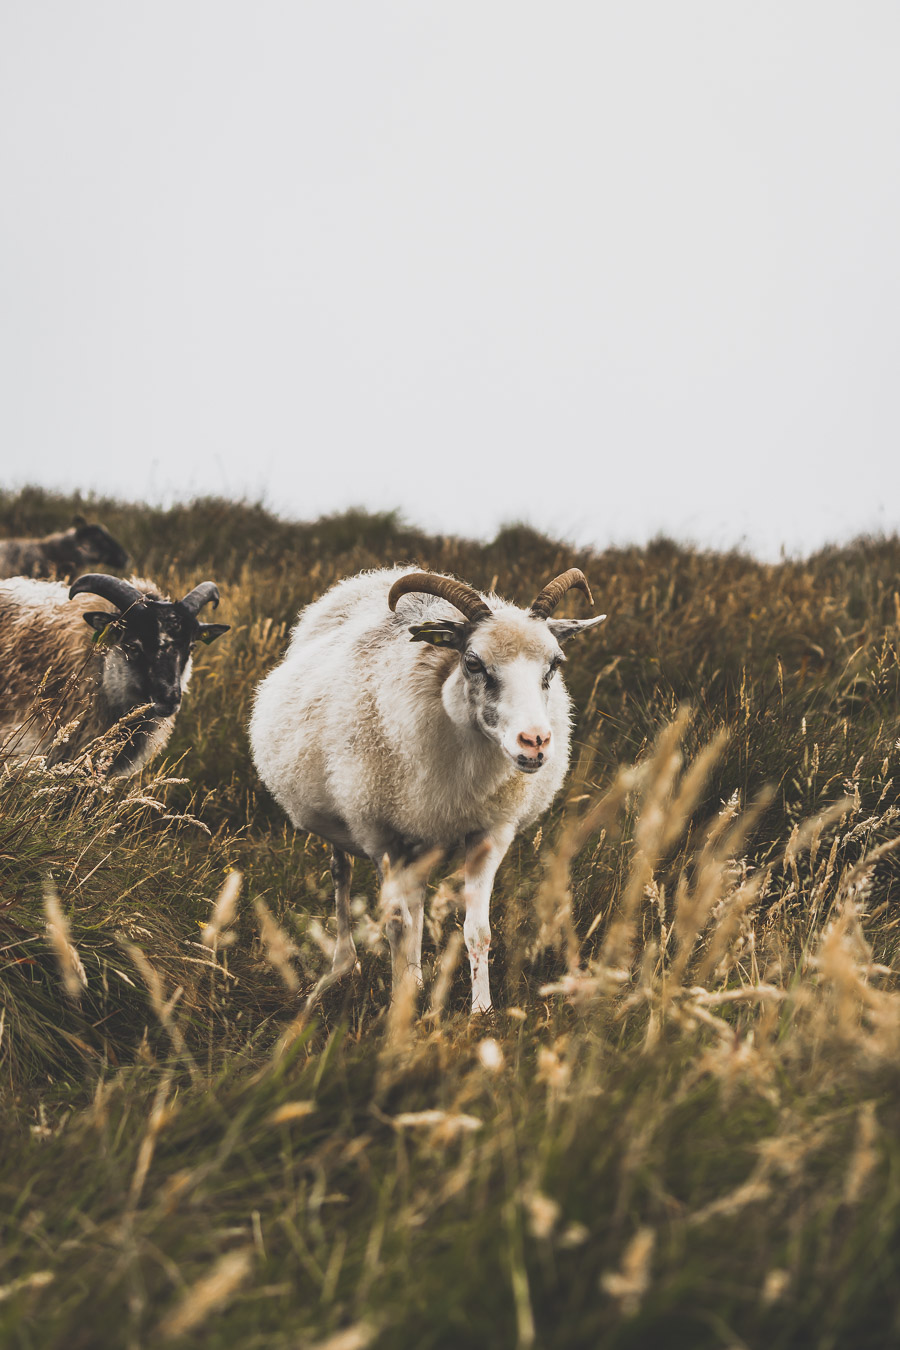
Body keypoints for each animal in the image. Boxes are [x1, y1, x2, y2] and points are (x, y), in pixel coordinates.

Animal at [249, 567, 609, 1015]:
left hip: (420, 832)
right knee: (342, 878)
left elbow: (476, 930)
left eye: (555, 664)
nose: (535, 743)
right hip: (345, 816)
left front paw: (481, 1011)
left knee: (418, 899)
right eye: (473, 662)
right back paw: (343, 966)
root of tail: (368, 578)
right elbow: (395, 923)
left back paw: (416, 980)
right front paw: (399, 1005)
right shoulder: (380, 835)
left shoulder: (490, 832)